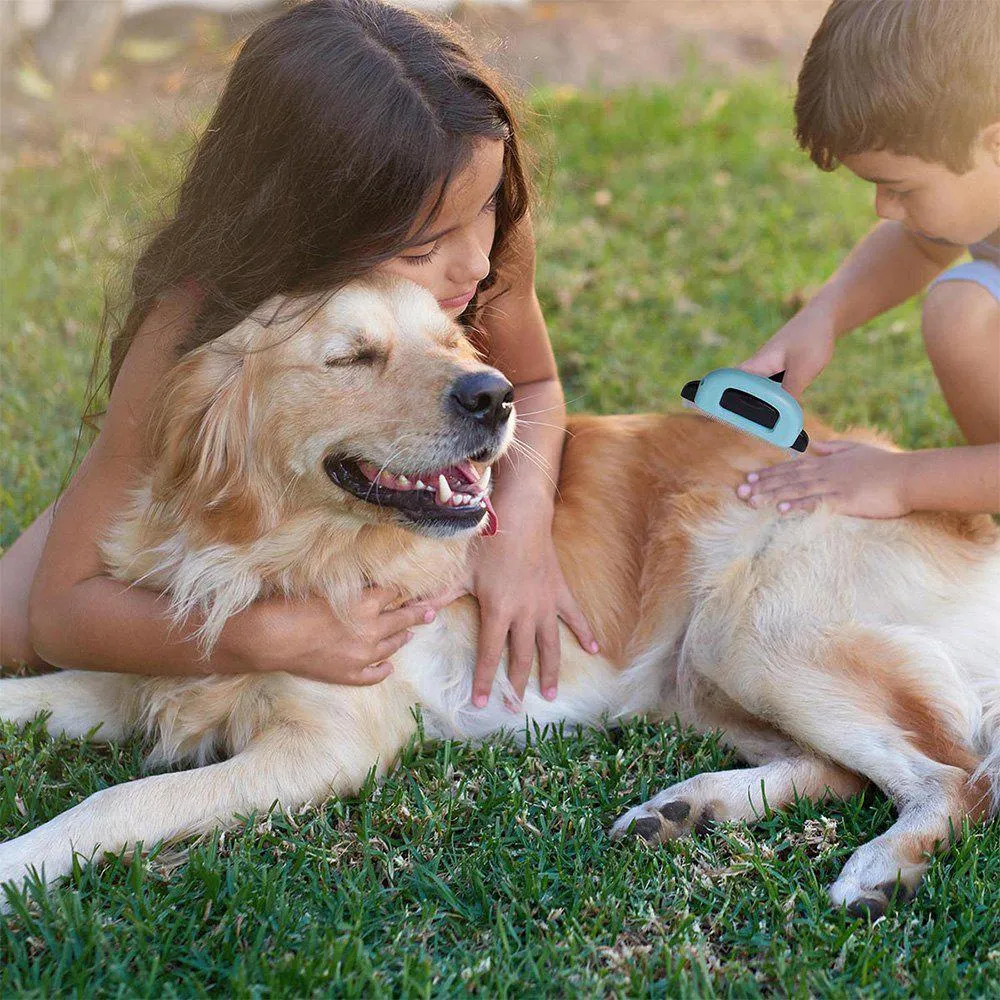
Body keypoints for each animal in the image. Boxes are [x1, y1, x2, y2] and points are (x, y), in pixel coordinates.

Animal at [1, 274, 1000, 916]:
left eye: (453, 344)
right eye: (352, 357)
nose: (496, 395)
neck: (267, 553)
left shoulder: (330, 743)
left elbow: (122, 802)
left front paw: (19, 864)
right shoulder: (136, 675)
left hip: (746, 631)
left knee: (952, 777)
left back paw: (881, 869)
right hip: (703, 672)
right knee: (847, 771)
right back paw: (687, 809)